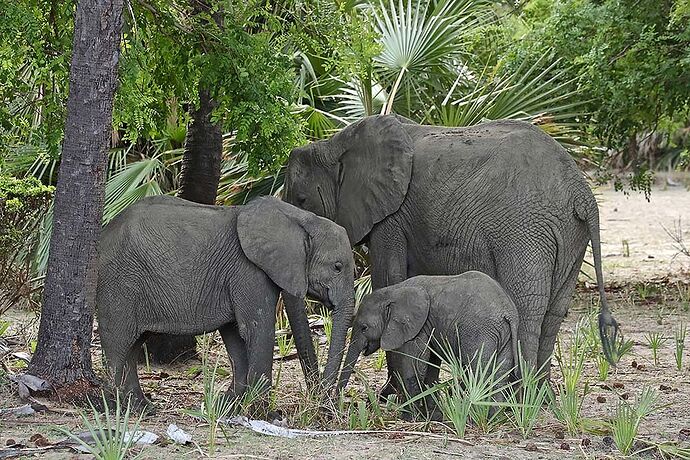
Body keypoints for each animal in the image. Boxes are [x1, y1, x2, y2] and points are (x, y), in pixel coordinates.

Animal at [284, 115, 620, 384]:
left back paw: (516, 403)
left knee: (527, 307)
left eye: (301, 199)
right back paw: (539, 401)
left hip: (526, 229)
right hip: (569, 235)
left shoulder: (392, 219)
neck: (336, 143)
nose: (319, 394)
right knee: (554, 312)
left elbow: (389, 280)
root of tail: (581, 190)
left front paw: (393, 396)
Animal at [336, 270, 520, 410]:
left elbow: (416, 363)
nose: (339, 402)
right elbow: (430, 365)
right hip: (504, 335)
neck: (393, 292)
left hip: (479, 331)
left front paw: (410, 417)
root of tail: (508, 312)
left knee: (478, 371)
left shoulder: (417, 326)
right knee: (500, 374)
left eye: (364, 328)